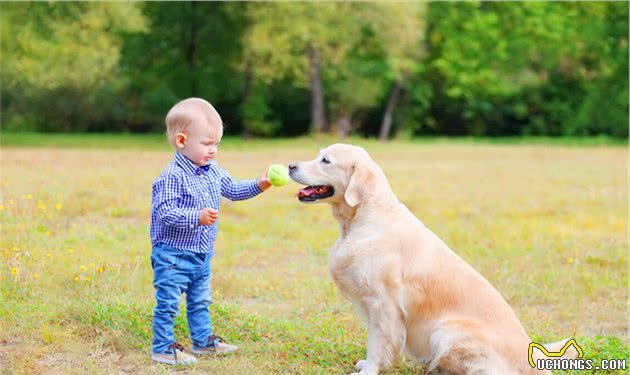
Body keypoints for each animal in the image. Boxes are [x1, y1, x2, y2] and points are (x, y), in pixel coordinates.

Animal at [290, 144, 576, 375]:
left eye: (325, 160)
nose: (291, 165)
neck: (363, 219)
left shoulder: (383, 303)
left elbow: (377, 342)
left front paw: (369, 369)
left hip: (446, 330)